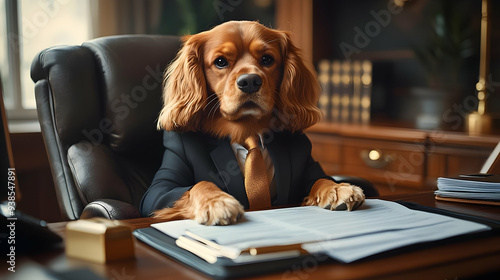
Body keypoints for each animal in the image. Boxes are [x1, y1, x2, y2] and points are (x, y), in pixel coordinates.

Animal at [139, 20, 366, 225]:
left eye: (267, 59)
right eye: (220, 62)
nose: (249, 81)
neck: (247, 129)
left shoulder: (309, 166)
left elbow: (320, 179)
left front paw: (337, 188)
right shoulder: (159, 190)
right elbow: (198, 184)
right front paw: (217, 202)